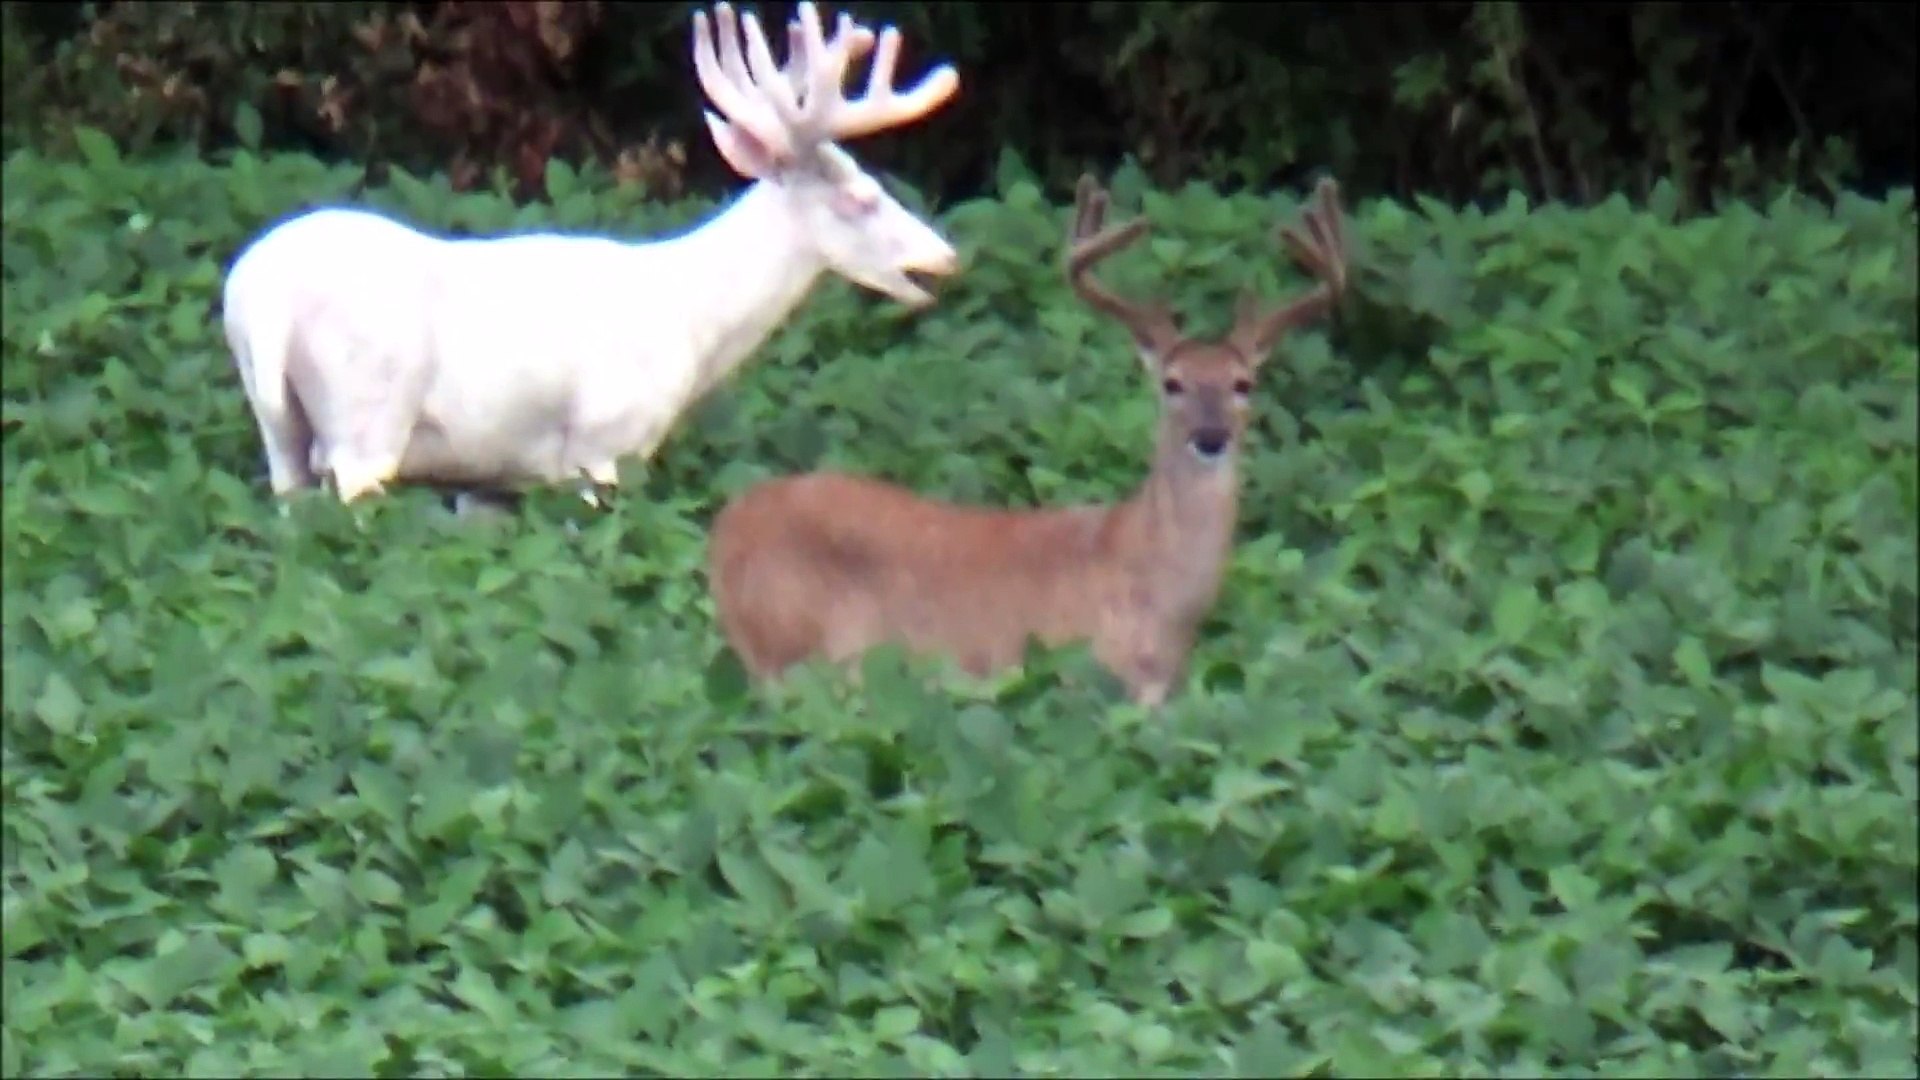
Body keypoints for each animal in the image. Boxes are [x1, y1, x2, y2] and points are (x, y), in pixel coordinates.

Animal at [221, 2, 962, 509]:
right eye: (863, 196)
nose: (947, 258)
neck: (693, 320)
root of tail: (260, 293)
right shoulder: (606, 443)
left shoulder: (497, 476)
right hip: (364, 419)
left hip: (279, 423)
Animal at [706, 174, 1349, 706]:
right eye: (1173, 382)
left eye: (1243, 383)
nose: (1211, 436)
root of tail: (725, 530)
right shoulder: (1071, 673)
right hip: (790, 648)